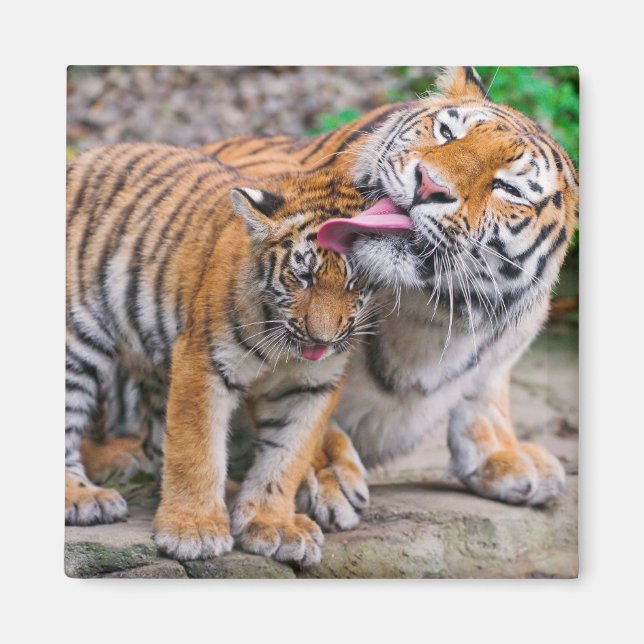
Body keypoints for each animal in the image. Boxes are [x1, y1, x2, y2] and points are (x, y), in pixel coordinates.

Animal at [65, 143, 375, 565]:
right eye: (303, 277)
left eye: (354, 283)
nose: (321, 340)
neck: (282, 343)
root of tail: (83, 157)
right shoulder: (205, 362)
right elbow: (196, 448)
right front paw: (193, 530)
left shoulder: (311, 386)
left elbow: (287, 456)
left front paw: (274, 524)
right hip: (74, 338)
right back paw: (83, 498)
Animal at [198, 66, 579, 518]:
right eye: (447, 132)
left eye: (509, 189)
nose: (429, 185)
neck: (429, 312)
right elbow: (300, 407)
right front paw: (327, 474)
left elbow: (486, 390)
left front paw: (504, 454)